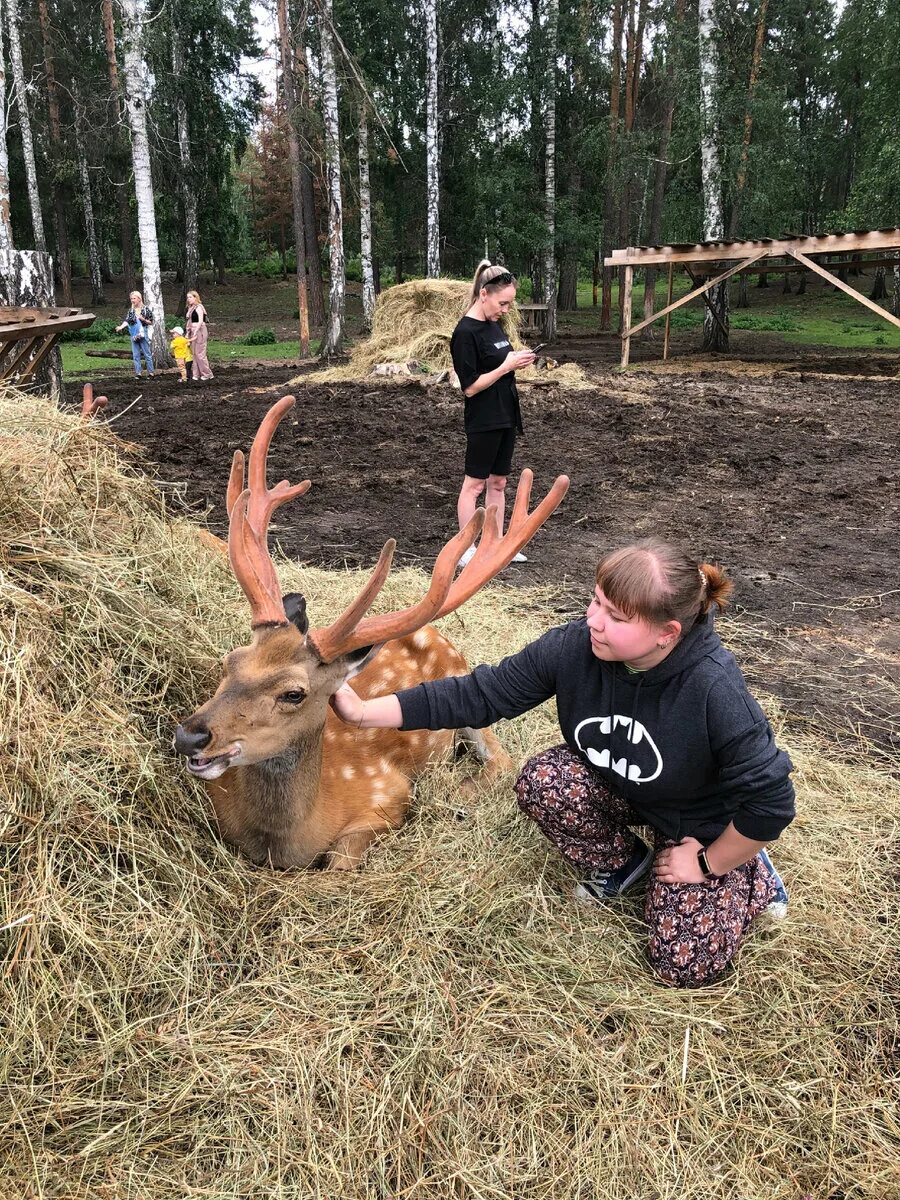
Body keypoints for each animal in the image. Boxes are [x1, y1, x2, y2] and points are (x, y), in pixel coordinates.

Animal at [174, 398, 571, 868]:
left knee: (501, 757)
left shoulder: (385, 797)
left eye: (294, 693)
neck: (287, 839)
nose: (190, 736)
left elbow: (340, 865)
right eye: (229, 661)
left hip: (464, 687)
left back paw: (456, 794)